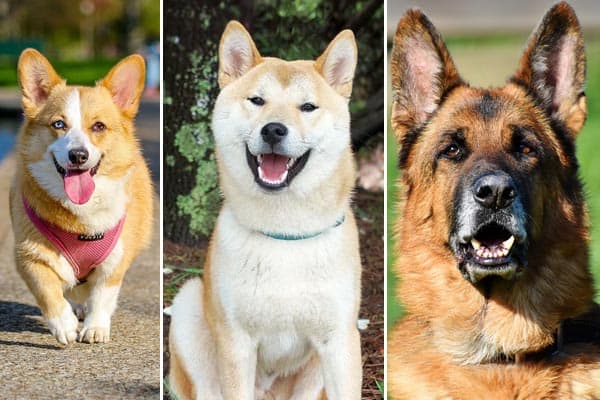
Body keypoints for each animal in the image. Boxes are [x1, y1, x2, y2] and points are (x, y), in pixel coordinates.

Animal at [9, 50, 154, 344]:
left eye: (98, 126)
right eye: (58, 124)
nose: (78, 155)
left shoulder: (115, 261)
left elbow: (102, 296)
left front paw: (95, 327)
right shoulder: (28, 256)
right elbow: (48, 291)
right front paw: (63, 325)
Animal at [168, 21, 360, 400]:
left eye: (308, 107)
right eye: (257, 100)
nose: (273, 129)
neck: (284, 234)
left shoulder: (340, 341)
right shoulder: (237, 342)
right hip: (187, 306)